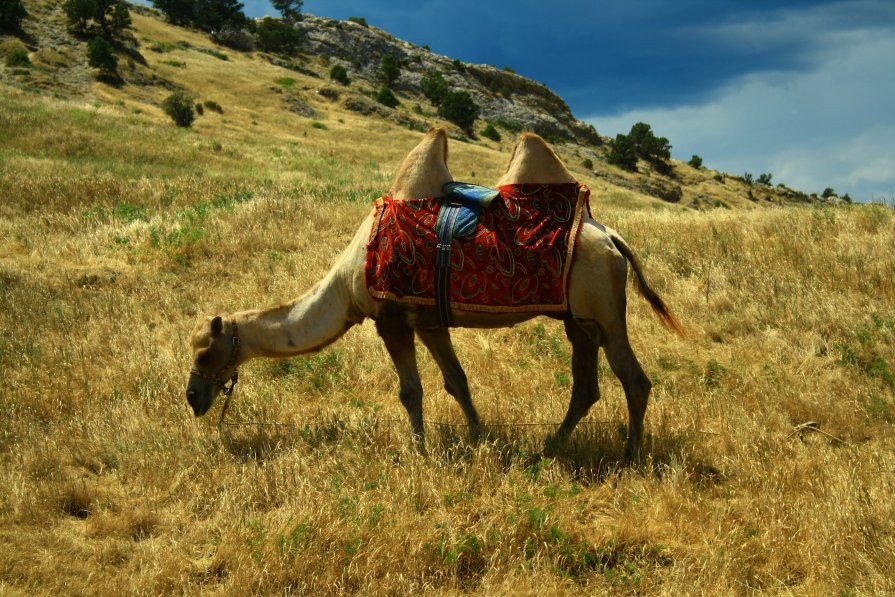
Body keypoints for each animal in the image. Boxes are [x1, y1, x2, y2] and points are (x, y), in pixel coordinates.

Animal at [187, 128, 680, 458]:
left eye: (205, 353)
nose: (193, 398)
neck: (348, 280)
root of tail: (611, 236)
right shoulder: (427, 320)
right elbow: (456, 380)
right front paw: (480, 436)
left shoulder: (390, 319)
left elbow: (411, 390)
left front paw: (419, 450)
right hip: (578, 320)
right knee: (586, 388)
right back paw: (548, 448)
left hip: (606, 312)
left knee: (634, 381)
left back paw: (630, 457)